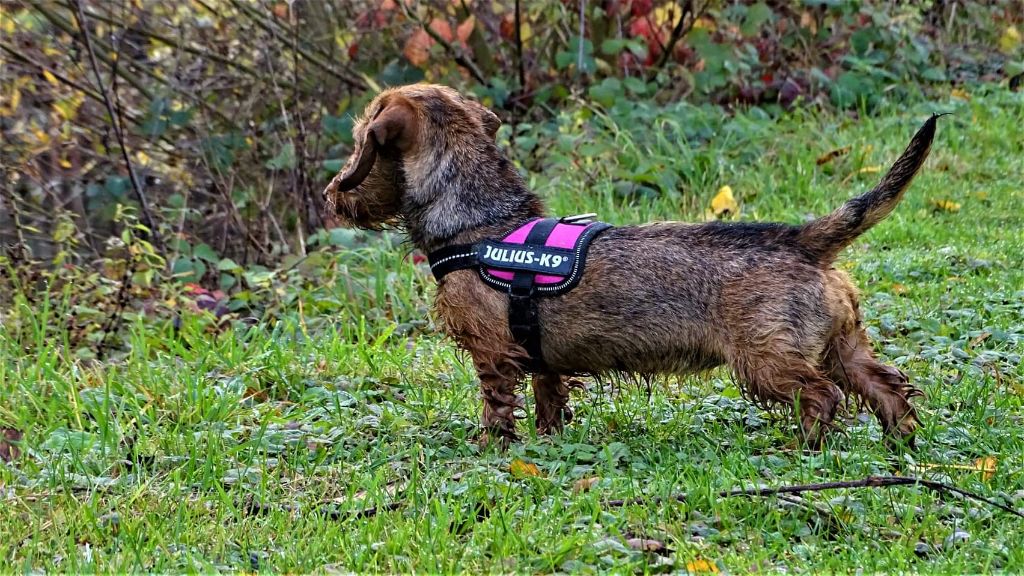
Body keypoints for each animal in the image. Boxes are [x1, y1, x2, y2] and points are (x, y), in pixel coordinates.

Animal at [323, 83, 937, 446]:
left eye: (358, 140)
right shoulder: (542, 358)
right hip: (844, 345)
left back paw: (809, 447)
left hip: (768, 360)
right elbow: (549, 399)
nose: (331, 196)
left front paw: (493, 448)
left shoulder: (493, 353)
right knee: (886, 387)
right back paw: (902, 442)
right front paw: (548, 442)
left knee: (822, 396)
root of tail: (801, 239)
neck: (481, 218)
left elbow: (497, 406)